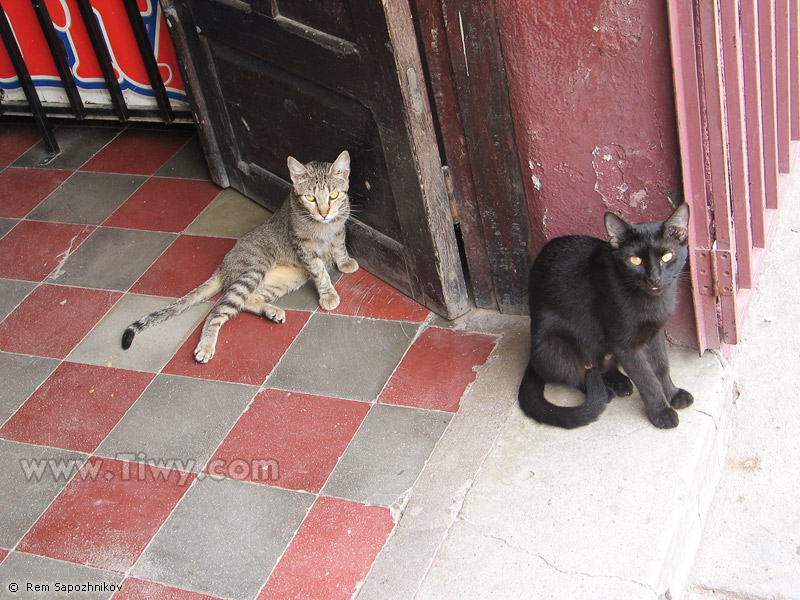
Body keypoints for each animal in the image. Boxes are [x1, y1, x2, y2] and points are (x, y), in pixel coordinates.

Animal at [120, 152, 358, 364]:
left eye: (334, 196)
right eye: (310, 197)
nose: (324, 213)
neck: (324, 228)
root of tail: (223, 266)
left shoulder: (339, 230)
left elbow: (339, 246)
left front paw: (344, 262)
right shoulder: (304, 247)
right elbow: (320, 272)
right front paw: (328, 294)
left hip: (282, 281)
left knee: (247, 302)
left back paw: (271, 311)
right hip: (253, 271)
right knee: (218, 310)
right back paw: (206, 345)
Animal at [520, 204, 692, 428]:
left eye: (667, 257)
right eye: (635, 260)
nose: (654, 278)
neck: (652, 301)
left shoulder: (655, 333)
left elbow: (661, 367)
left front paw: (673, 394)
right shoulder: (625, 345)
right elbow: (646, 378)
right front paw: (661, 412)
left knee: (604, 365)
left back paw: (620, 382)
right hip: (550, 347)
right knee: (578, 375)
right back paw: (606, 391)